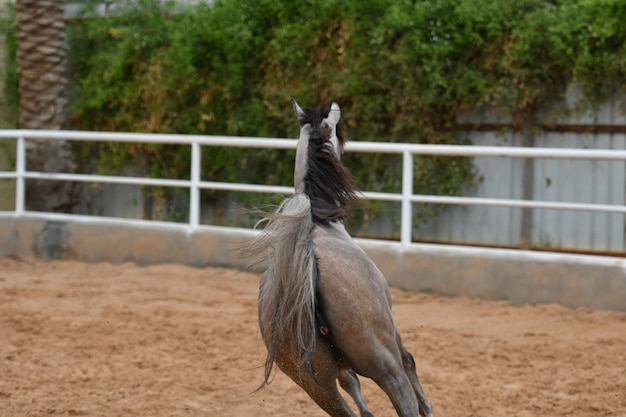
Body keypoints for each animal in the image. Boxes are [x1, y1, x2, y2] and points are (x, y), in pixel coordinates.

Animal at [241, 98, 432, 416]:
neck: (323, 223)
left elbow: (350, 382)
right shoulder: (392, 336)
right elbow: (410, 360)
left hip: (317, 387)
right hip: (384, 366)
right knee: (405, 395)